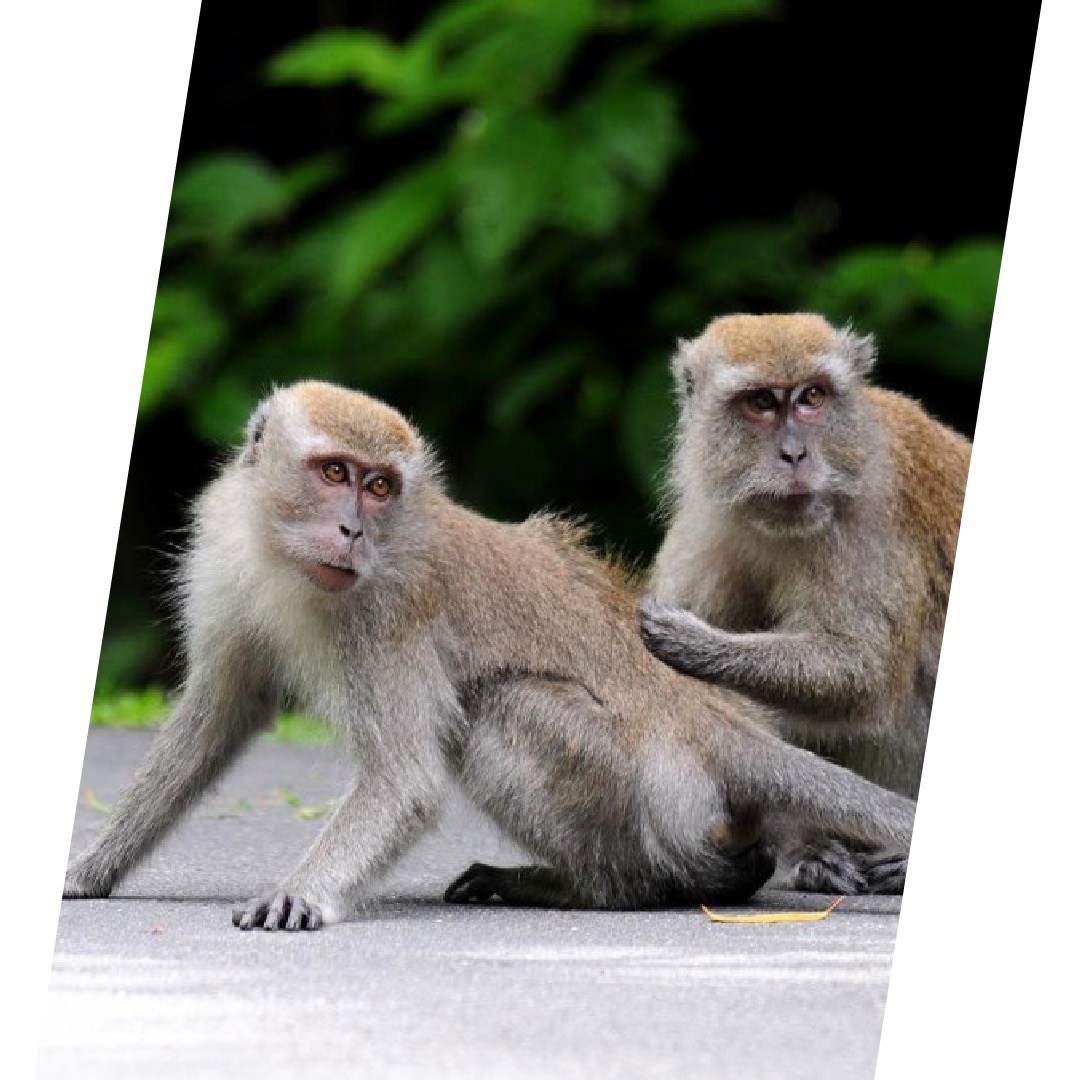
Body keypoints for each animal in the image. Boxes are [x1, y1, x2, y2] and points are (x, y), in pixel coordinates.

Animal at [64, 380, 916, 929]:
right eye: (334, 473)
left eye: (379, 487)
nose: (351, 530)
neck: (289, 565)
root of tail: (713, 722)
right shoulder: (228, 564)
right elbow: (216, 716)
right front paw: (89, 869)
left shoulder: (388, 615)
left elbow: (405, 781)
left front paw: (302, 893)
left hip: (655, 799)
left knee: (503, 709)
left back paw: (595, 890)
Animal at [631, 312, 971, 894]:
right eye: (761, 403)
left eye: (812, 397)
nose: (794, 455)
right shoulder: (707, 524)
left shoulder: (871, 522)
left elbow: (862, 673)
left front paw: (696, 645)